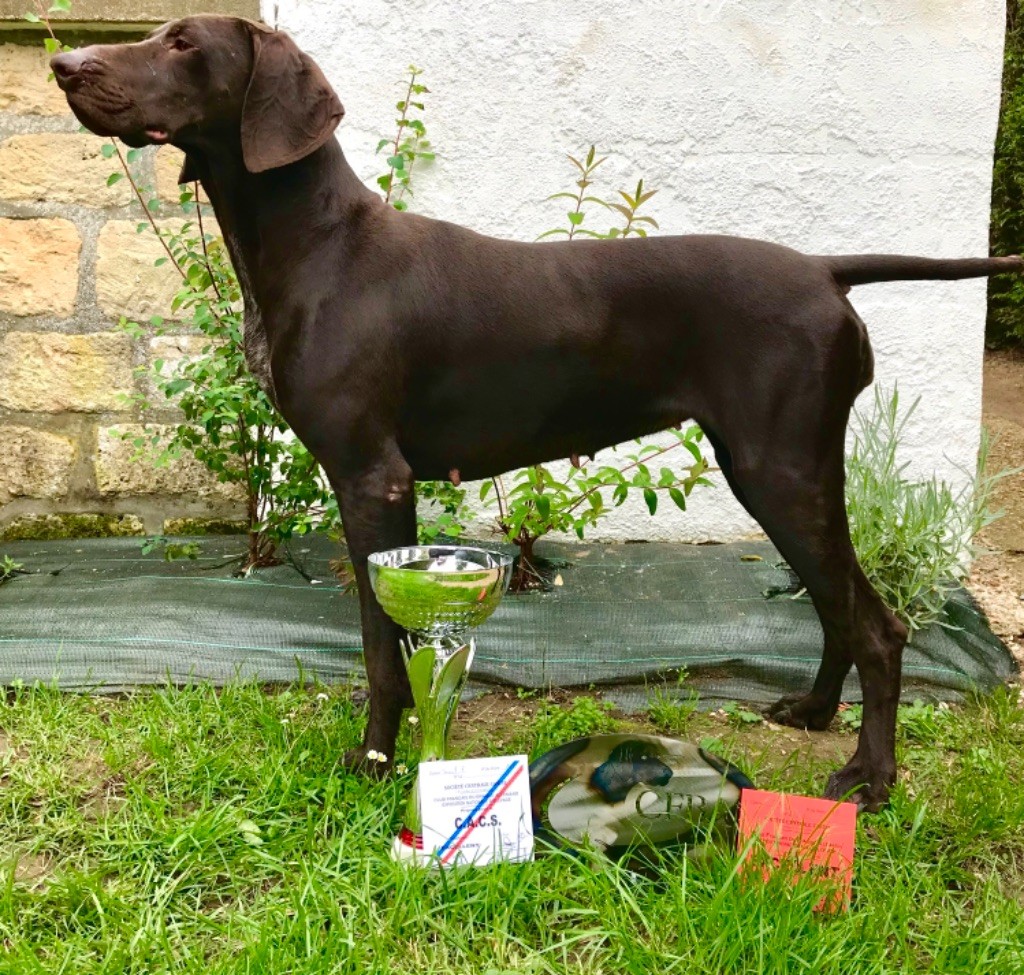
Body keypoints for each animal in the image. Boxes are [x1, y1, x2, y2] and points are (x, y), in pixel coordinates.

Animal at [51, 15, 1019, 807]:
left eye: (182, 42)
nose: (64, 62)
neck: (317, 243)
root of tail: (824, 268)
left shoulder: (372, 477)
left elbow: (381, 651)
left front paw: (374, 763)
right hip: (780, 476)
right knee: (838, 608)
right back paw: (815, 710)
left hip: (781, 471)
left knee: (878, 625)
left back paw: (871, 777)